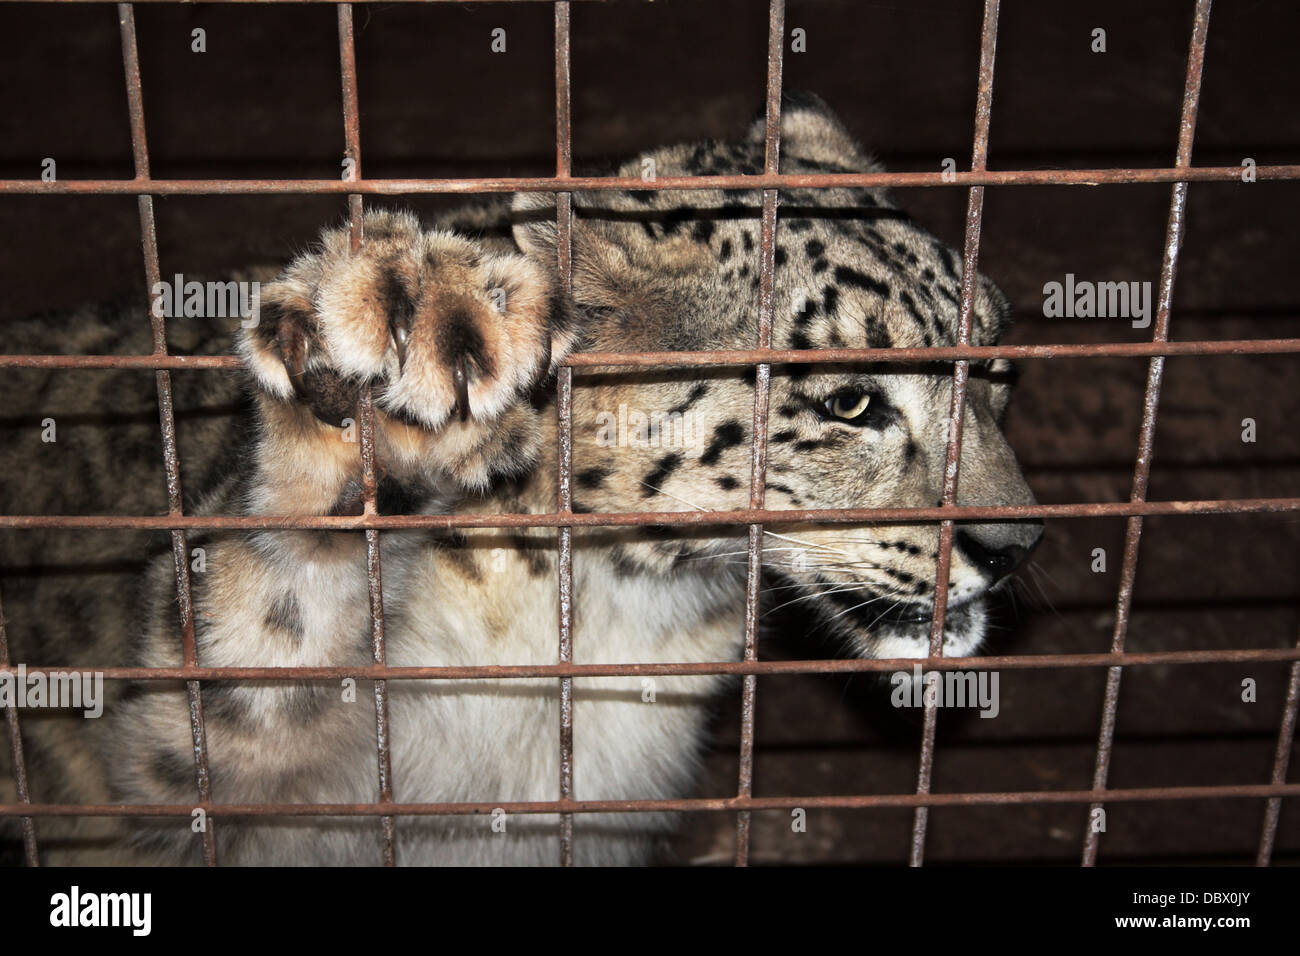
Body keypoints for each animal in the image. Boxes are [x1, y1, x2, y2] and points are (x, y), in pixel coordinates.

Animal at [0, 93, 1041, 866]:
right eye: (852, 402)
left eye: (996, 364)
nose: (1015, 544)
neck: (628, 621)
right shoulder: (177, 767)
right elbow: (253, 638)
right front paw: (403, 334)